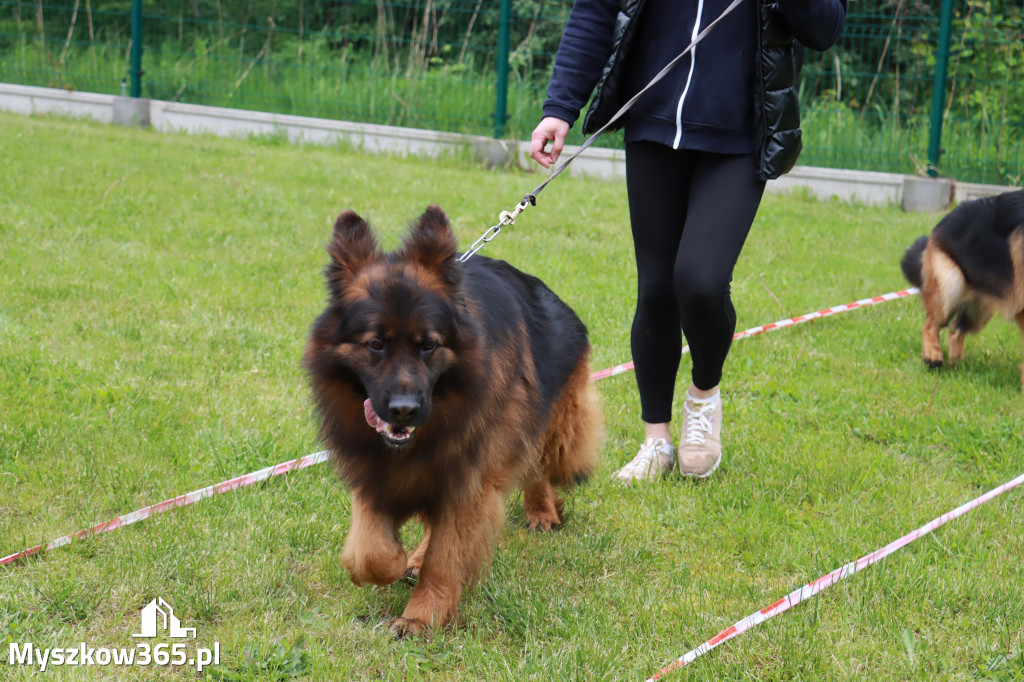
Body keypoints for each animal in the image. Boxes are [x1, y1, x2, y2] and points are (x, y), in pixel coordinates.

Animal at [303, 204, 598, 634]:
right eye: (375, 344)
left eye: (429, 345)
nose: (404, 409)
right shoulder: (374, 470)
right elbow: (369, 551)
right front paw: (396, 562)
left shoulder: (470, 479)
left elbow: (446, 557)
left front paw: (421, 617)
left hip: (551, 423)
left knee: (538, 464)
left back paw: (542, 511)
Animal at [901, 188, 1024, 385]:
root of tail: (940, 224)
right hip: (950, 285)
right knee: (930, 325)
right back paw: (932, 354)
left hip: (981, 307)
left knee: (955, 329)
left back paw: (959, 364)